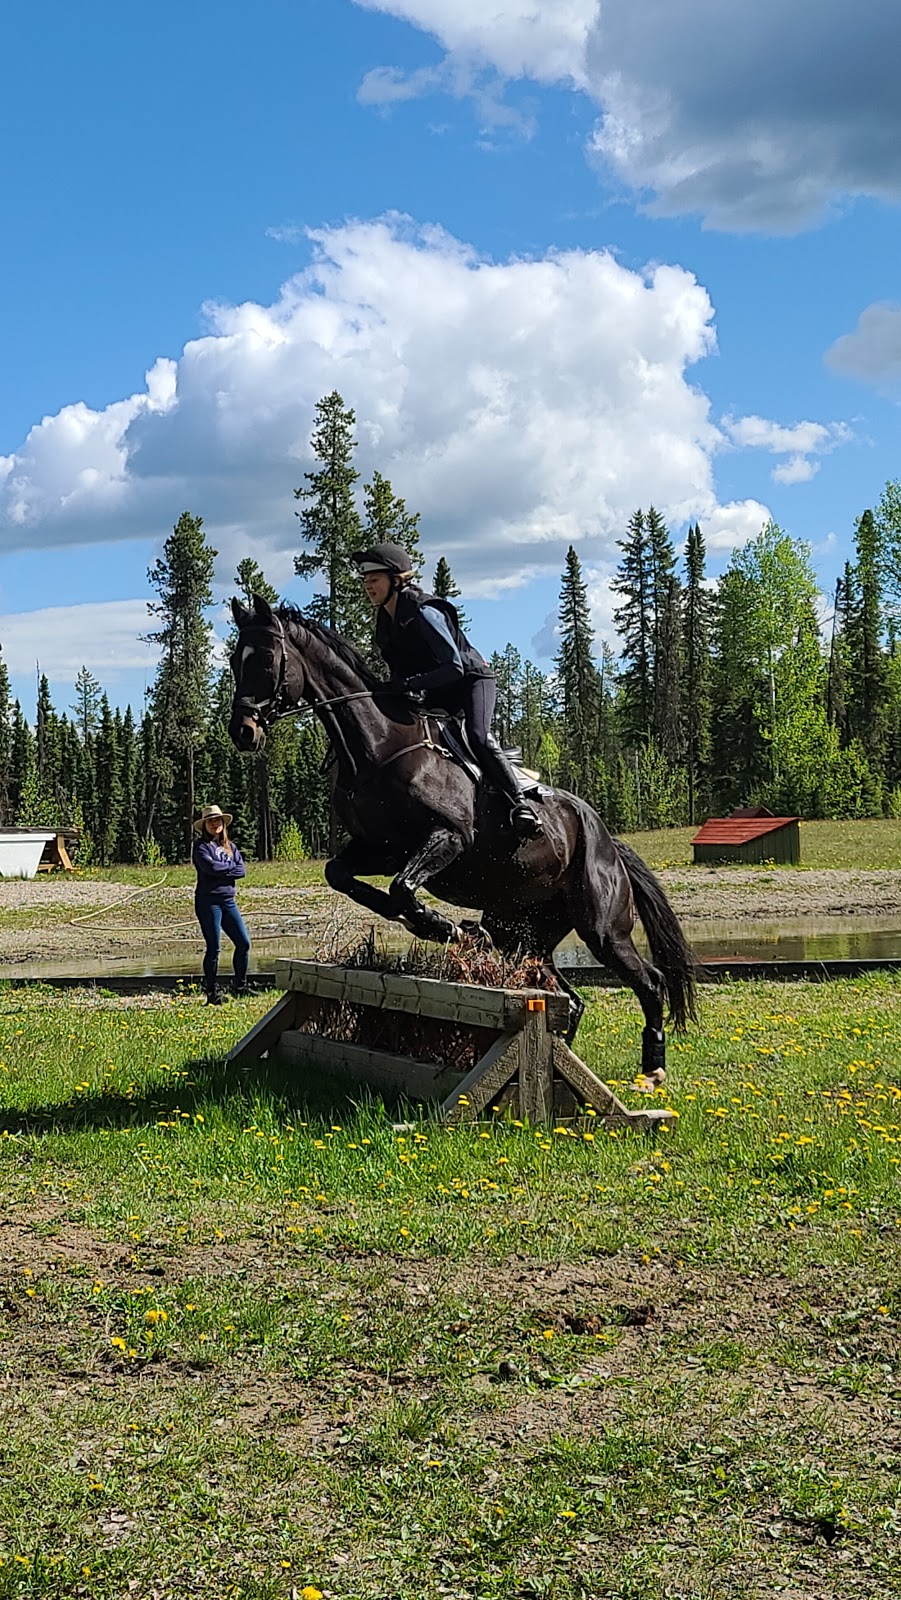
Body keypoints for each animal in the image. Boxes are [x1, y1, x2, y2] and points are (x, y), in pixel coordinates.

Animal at [228, 601, 694, 1088]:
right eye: (234, 661)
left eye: (265, 660)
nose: (242, 731)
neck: (379, 746)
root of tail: (608, 841)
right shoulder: (380, 849)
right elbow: (344, 875)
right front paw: (433, 924)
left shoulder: (447, 838)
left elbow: (402, 887)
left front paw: (440, 925)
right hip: (523, 932)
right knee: (564, 992)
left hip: (603, 927)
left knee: (650, 982)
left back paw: (653, 1068)